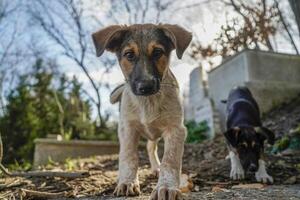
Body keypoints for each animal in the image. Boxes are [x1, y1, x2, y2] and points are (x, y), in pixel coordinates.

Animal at [91, 24, 192, 199]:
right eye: (129, 55)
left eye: (158, 52)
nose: (146, 86)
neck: (147, 102)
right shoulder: (128, 129)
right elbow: (128, 156)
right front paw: (127, 182)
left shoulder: (176, 129)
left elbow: (170, 160)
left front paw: (166, 187)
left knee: (151, 148)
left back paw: (156, 168)